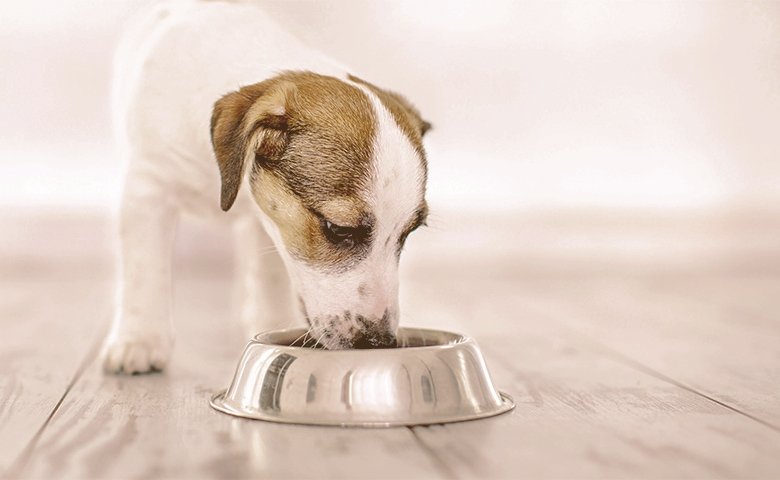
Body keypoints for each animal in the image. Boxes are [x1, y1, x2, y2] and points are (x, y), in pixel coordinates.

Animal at [102, 0, 432, 376]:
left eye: (408, 233)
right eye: (337, 228)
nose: (378, 342)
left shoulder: (269, 222)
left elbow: (271, 275)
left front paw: (271, 324)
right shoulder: (148, 187)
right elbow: (145, 270)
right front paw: (139, 338)